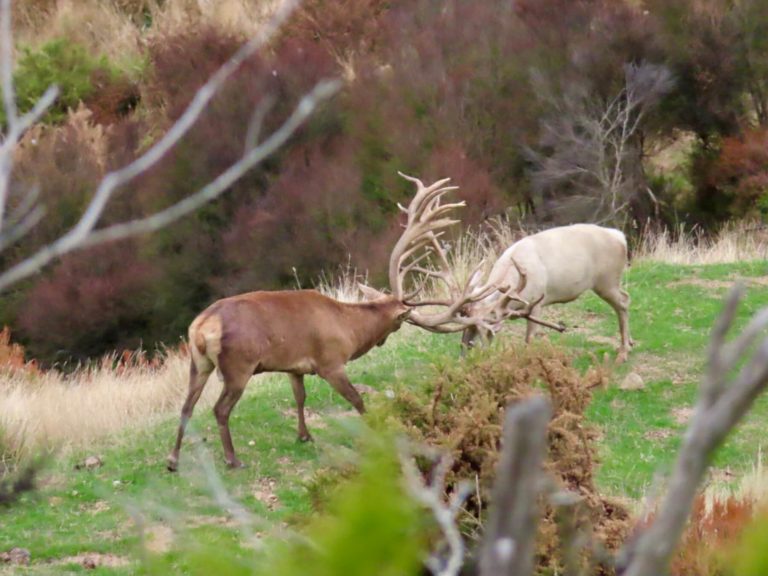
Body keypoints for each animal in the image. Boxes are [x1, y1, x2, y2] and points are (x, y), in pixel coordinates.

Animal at [167, 173, 547, 471]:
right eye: (399, 323)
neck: (348, 329)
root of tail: (202, 326)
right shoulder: (330, 361)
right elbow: (358, 401)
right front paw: (375, 433)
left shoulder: (295, 365)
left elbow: (300, 397)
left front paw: (304, 436)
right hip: (238, 364)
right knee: (219, 409)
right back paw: (232, 459)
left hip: (198, 362)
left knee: (186, 406)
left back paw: (172, 460)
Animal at [460, 224, 633, 362]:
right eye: (468, 324)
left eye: (487, 328)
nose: (467, 349)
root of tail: (620, 237)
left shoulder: (536, 302)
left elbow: (529, 339)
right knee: (624, 298)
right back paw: (629, 343)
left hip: (607, 280)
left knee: (623, 301)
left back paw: (623, 353)